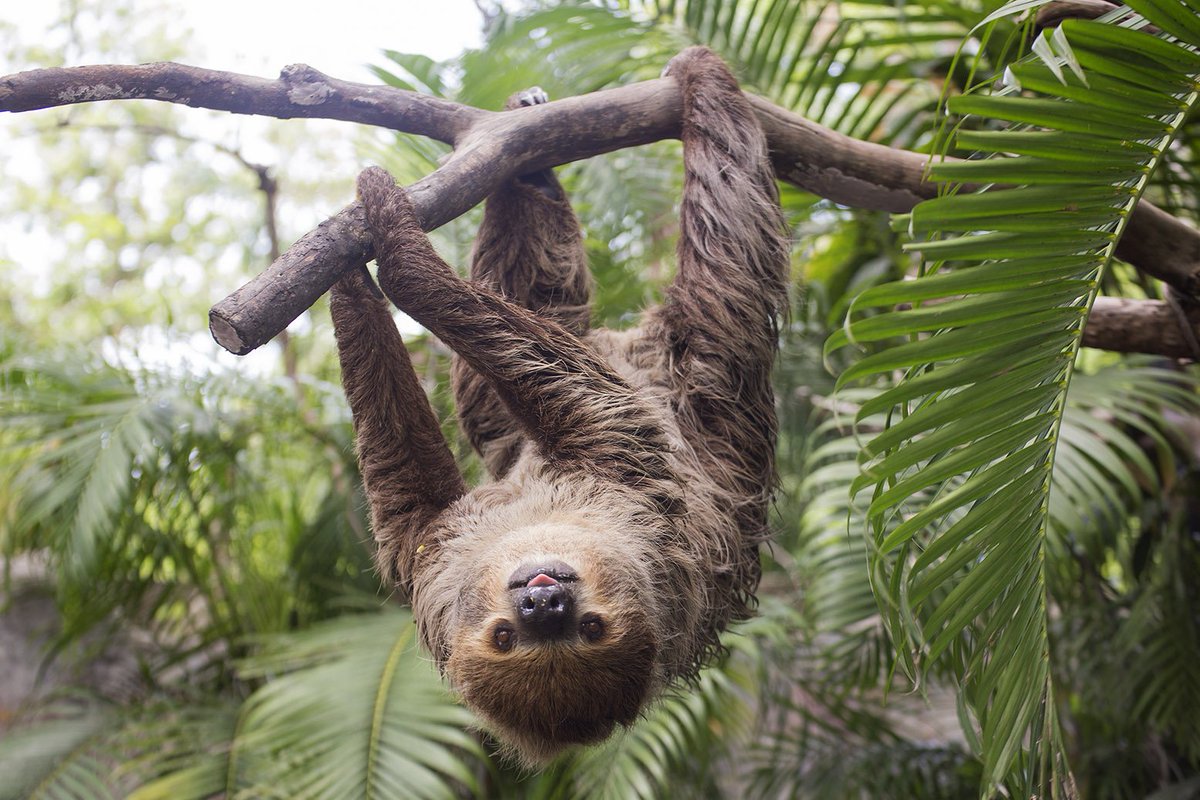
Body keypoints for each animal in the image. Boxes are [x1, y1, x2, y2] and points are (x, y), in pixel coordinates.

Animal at [328, 46, 788, 764]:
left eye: (591, 629)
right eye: (505, 638)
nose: (544, 605)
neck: (545, 517)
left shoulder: (636, 479)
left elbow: (577, 397)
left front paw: (391, 252)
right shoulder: (427, 563)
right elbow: (406, 480)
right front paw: (349, 270)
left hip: (714, 370)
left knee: (726, 222)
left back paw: (697, 74)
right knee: (524, 317)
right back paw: (533, 163)